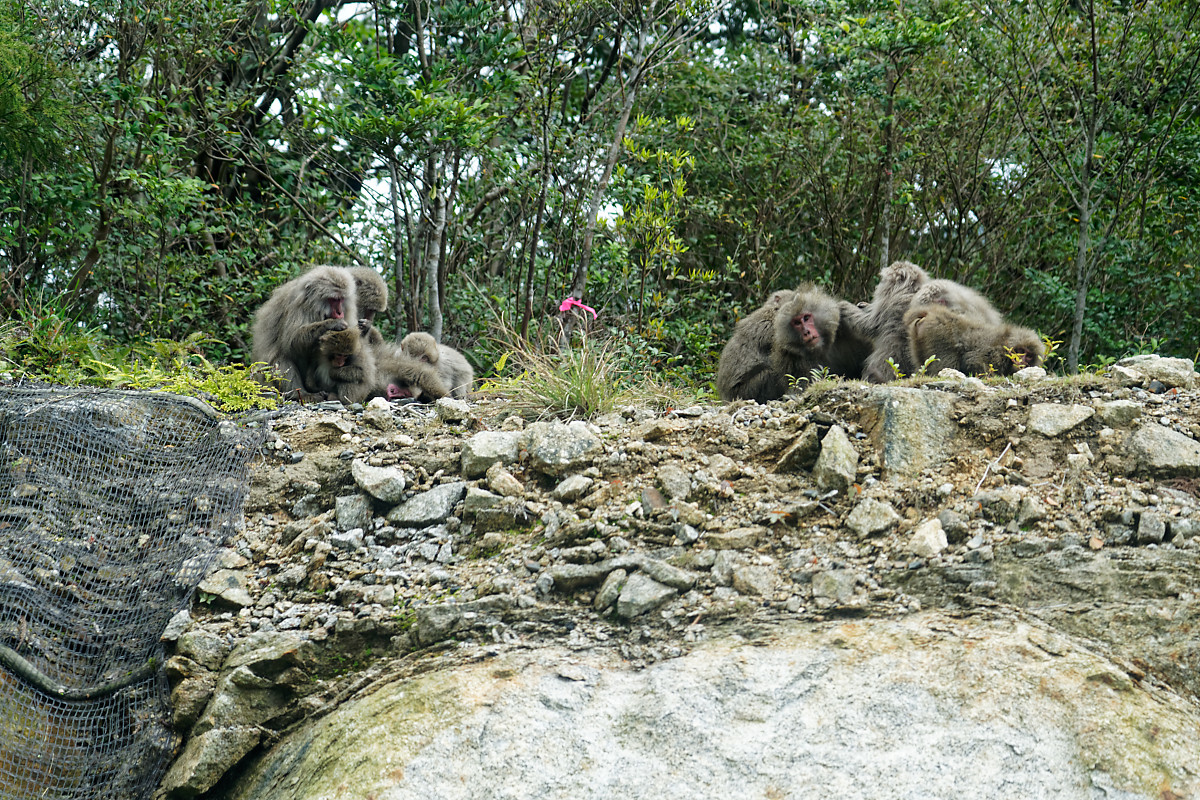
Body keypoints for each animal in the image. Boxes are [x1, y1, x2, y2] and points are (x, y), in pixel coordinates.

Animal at [902, 303, 1046, 379]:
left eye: (1028, 356)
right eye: (1020, 351)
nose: (1020, 360)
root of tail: (932, 313)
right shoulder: (995, 354)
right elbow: (973, 361)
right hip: (938, 332)